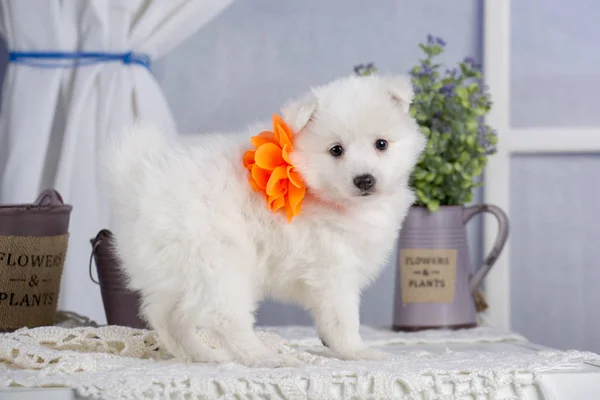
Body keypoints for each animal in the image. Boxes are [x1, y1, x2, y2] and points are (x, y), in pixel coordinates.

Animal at [105, 73, 428, 368]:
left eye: (381, 144)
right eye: (336, 150)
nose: (364, 179)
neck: (316, 189)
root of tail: (138, 183)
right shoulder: (332, 271)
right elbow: (343, 318)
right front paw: (356, 351)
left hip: (175, 273)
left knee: (167, 317)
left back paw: (203, 355)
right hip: (218, 264)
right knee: (224, 317)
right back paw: (265, 357)